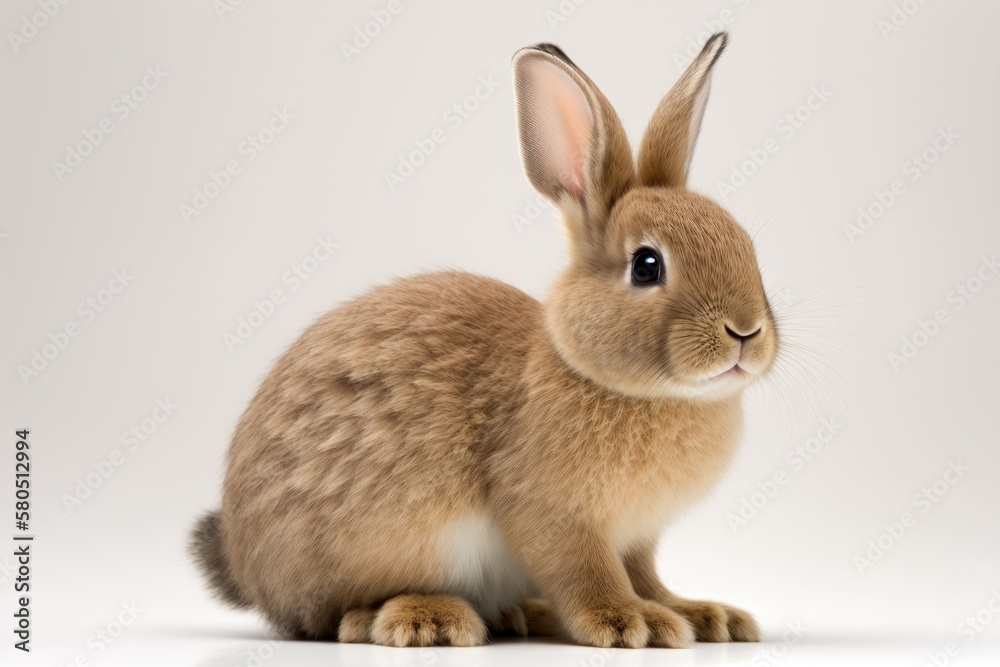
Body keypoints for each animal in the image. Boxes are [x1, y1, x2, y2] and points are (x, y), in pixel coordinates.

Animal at [191, 31, 778, 648]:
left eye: (746, 246)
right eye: (646, 266)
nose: (746, 332)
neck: (600, 374)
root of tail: (246, 566)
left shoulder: (637, 538)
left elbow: (646, 576)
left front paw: (697, 614)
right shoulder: (555, 515)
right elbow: (588, 573)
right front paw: (631, 620)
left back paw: (523, 613)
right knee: (338, 616)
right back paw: (426, 618)